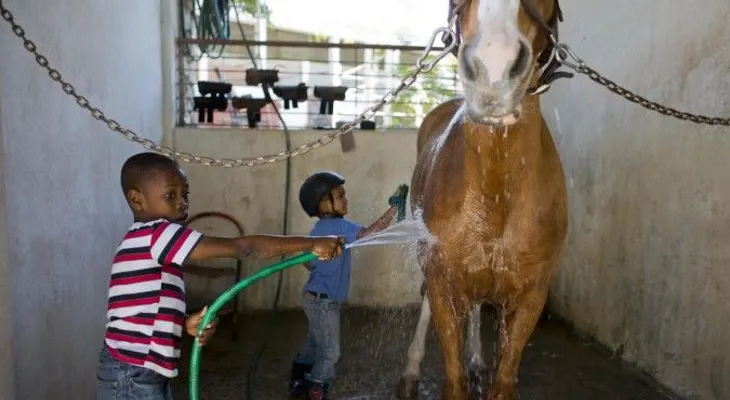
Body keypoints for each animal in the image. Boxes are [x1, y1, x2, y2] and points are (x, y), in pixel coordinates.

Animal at [396, 0, 571, 399]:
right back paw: (410, 372)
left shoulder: (530, 296)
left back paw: (477, 361)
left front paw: (481, 368)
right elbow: (453, 377)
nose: (494, 67)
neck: (496, 194)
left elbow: (504, 380)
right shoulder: (443, 281)